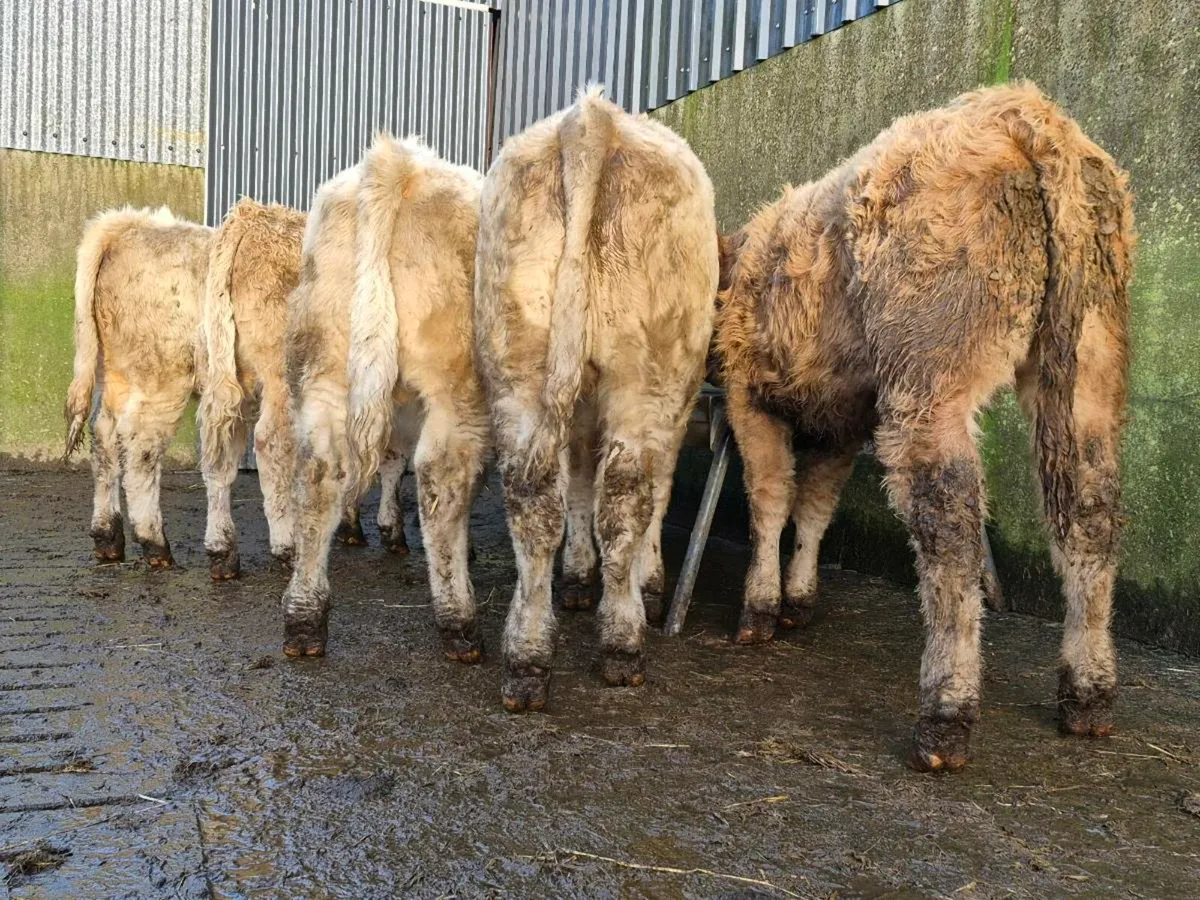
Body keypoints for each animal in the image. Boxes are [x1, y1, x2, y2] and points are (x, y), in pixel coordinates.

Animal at [282, 135, 486, 660]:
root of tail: (397, 163)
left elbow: (390, 460)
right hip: (458, 384)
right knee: (440, 478)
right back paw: (459, 622)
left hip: (326, 367)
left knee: (321, 474)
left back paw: (304, 621)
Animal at [474, 87, 719, 712]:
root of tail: (590, 121)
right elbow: (654, 491)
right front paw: (646, 582)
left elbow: (578, 482)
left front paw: (580, 577)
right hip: (647, 372)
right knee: (628, 495)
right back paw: (623, 643)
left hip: (519, 358)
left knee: (534, 496)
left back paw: (528, 659)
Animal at [712, 82, 1134, 771]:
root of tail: (1019, 107)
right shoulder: (844, 418)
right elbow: (815, 506)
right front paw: (799, 598)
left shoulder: (751, 394)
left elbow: (770, 500)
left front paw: (761, 608)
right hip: (1088, 369)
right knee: (1089, 516)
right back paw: (1089, 695)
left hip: (929, 378)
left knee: (951, 530)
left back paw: (945, 716)